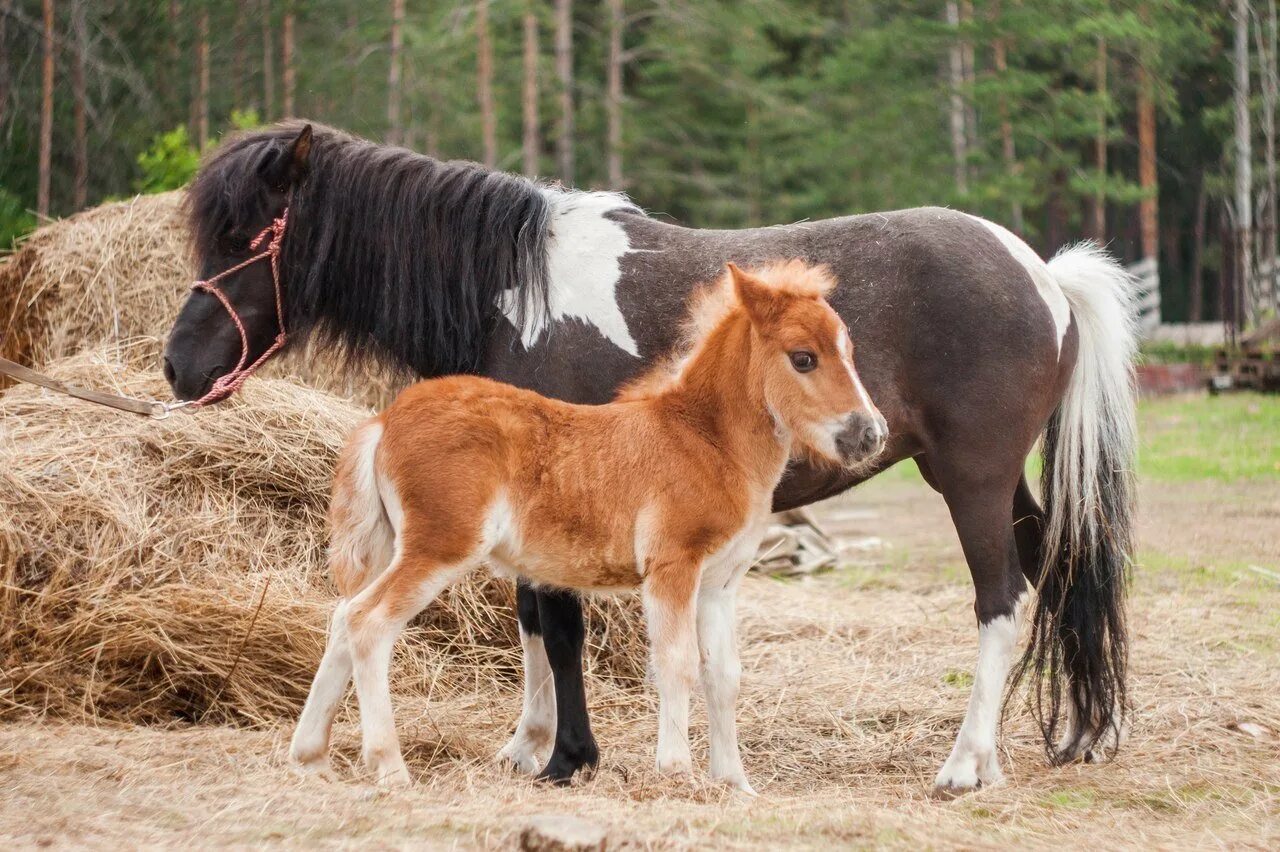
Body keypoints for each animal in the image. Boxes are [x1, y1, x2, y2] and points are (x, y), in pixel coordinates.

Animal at [290, 260, 890, 788]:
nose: (871, 434)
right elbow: (675, 664)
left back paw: (312, 757)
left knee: (342, 617)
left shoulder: (720, 584)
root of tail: (383, 420)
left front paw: (735, 783)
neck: (706, 441)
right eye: (803, 358)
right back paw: (389, 768)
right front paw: (678, 773)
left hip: (396, 545)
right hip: (439, 546)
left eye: (850, 352)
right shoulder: (672, 568)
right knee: (368, 622)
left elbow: (724, 676)